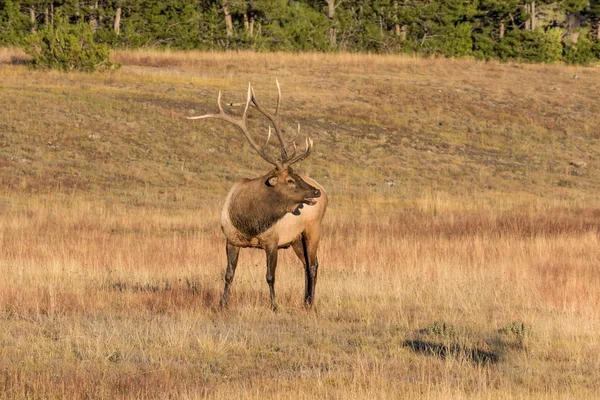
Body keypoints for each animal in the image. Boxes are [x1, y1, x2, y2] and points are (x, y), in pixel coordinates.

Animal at [188, 81, 328, 310]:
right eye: (290, 180)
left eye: (296, 175)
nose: (314, 192)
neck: (249, 221)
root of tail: (325, 189)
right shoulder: (231, 240)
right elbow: (228, 274)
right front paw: (222, 303)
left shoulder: (273, 241)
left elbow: (270, 276)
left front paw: (275, 306)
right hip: (296, 239)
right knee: (306, 264)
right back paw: (305, 300)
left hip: (313, 229)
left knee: (314, 265)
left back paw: (310, 303)